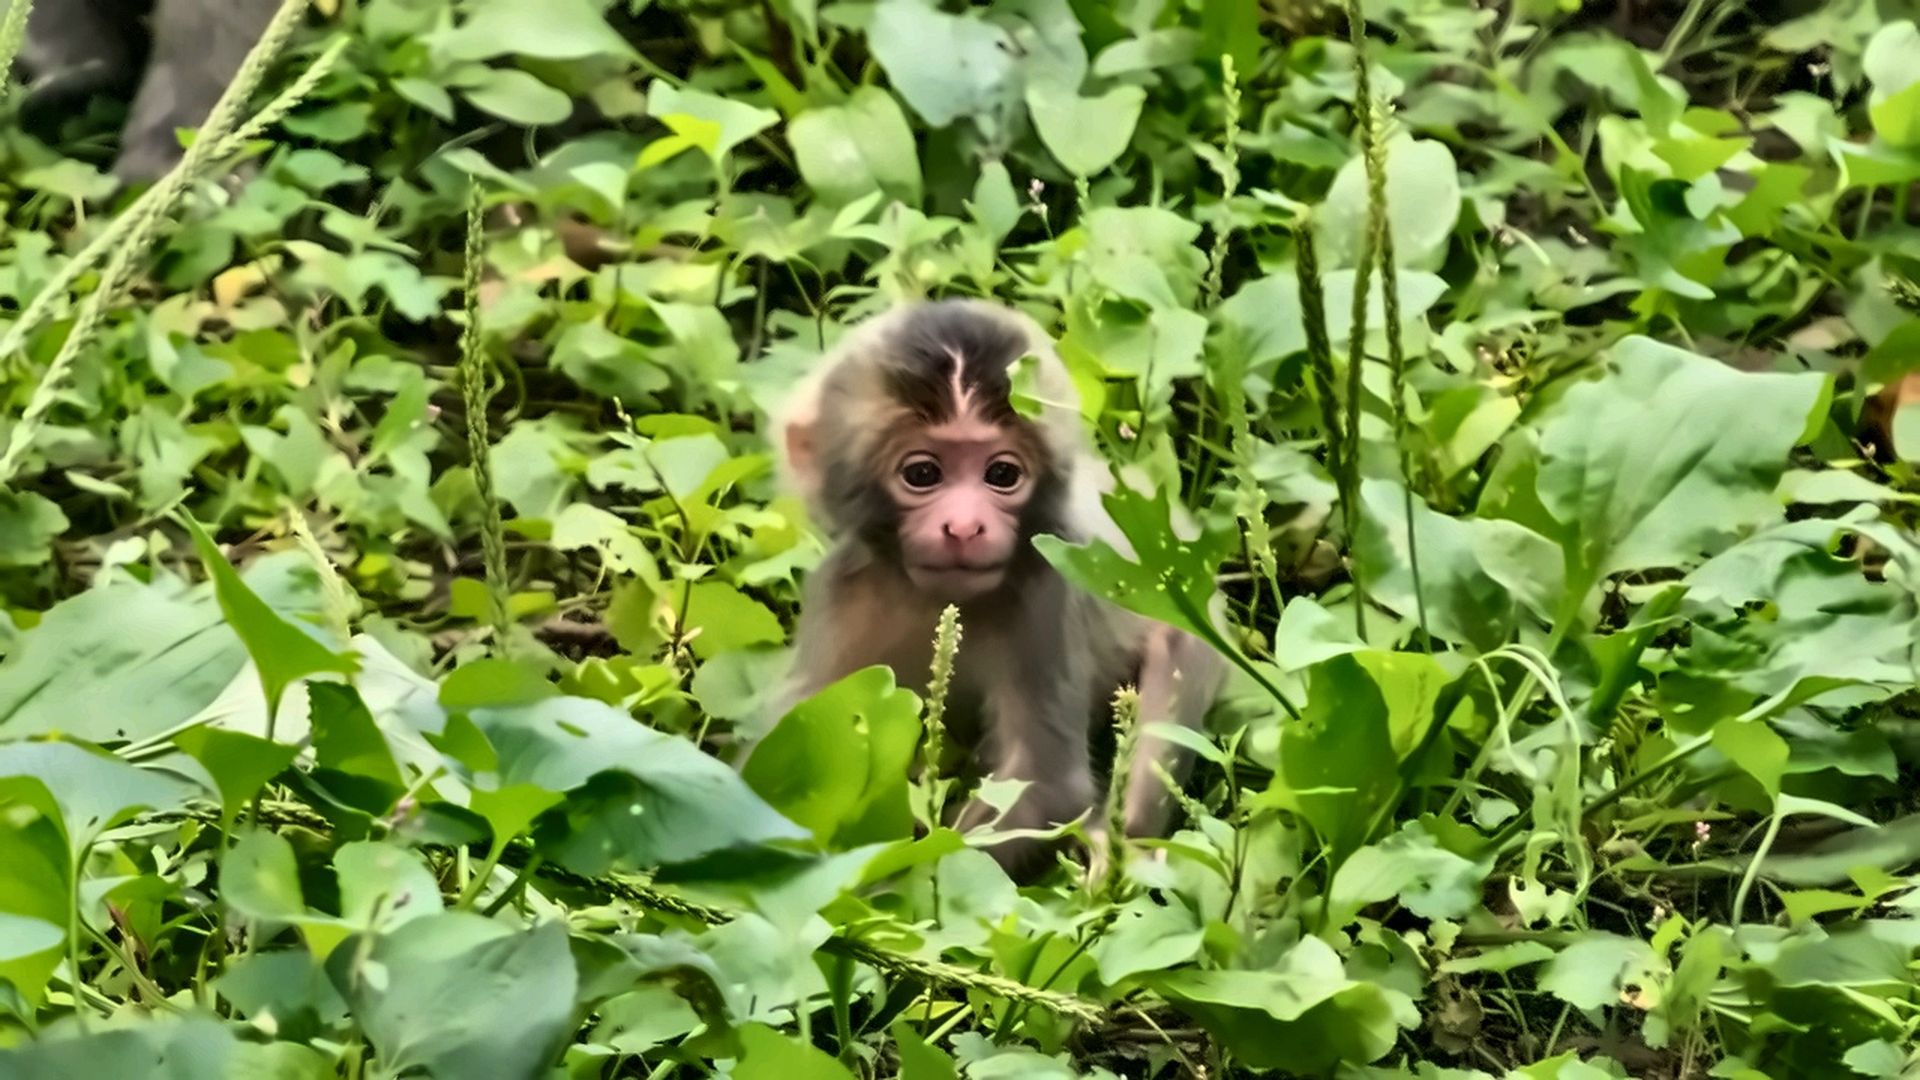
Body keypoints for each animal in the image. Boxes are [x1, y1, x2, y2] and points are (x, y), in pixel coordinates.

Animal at [756, 299, 1227, 881]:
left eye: (1002, 474)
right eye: (922, 473)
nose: (964, 527)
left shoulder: (1047, 592)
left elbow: (1045, 784)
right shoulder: (842, 594)